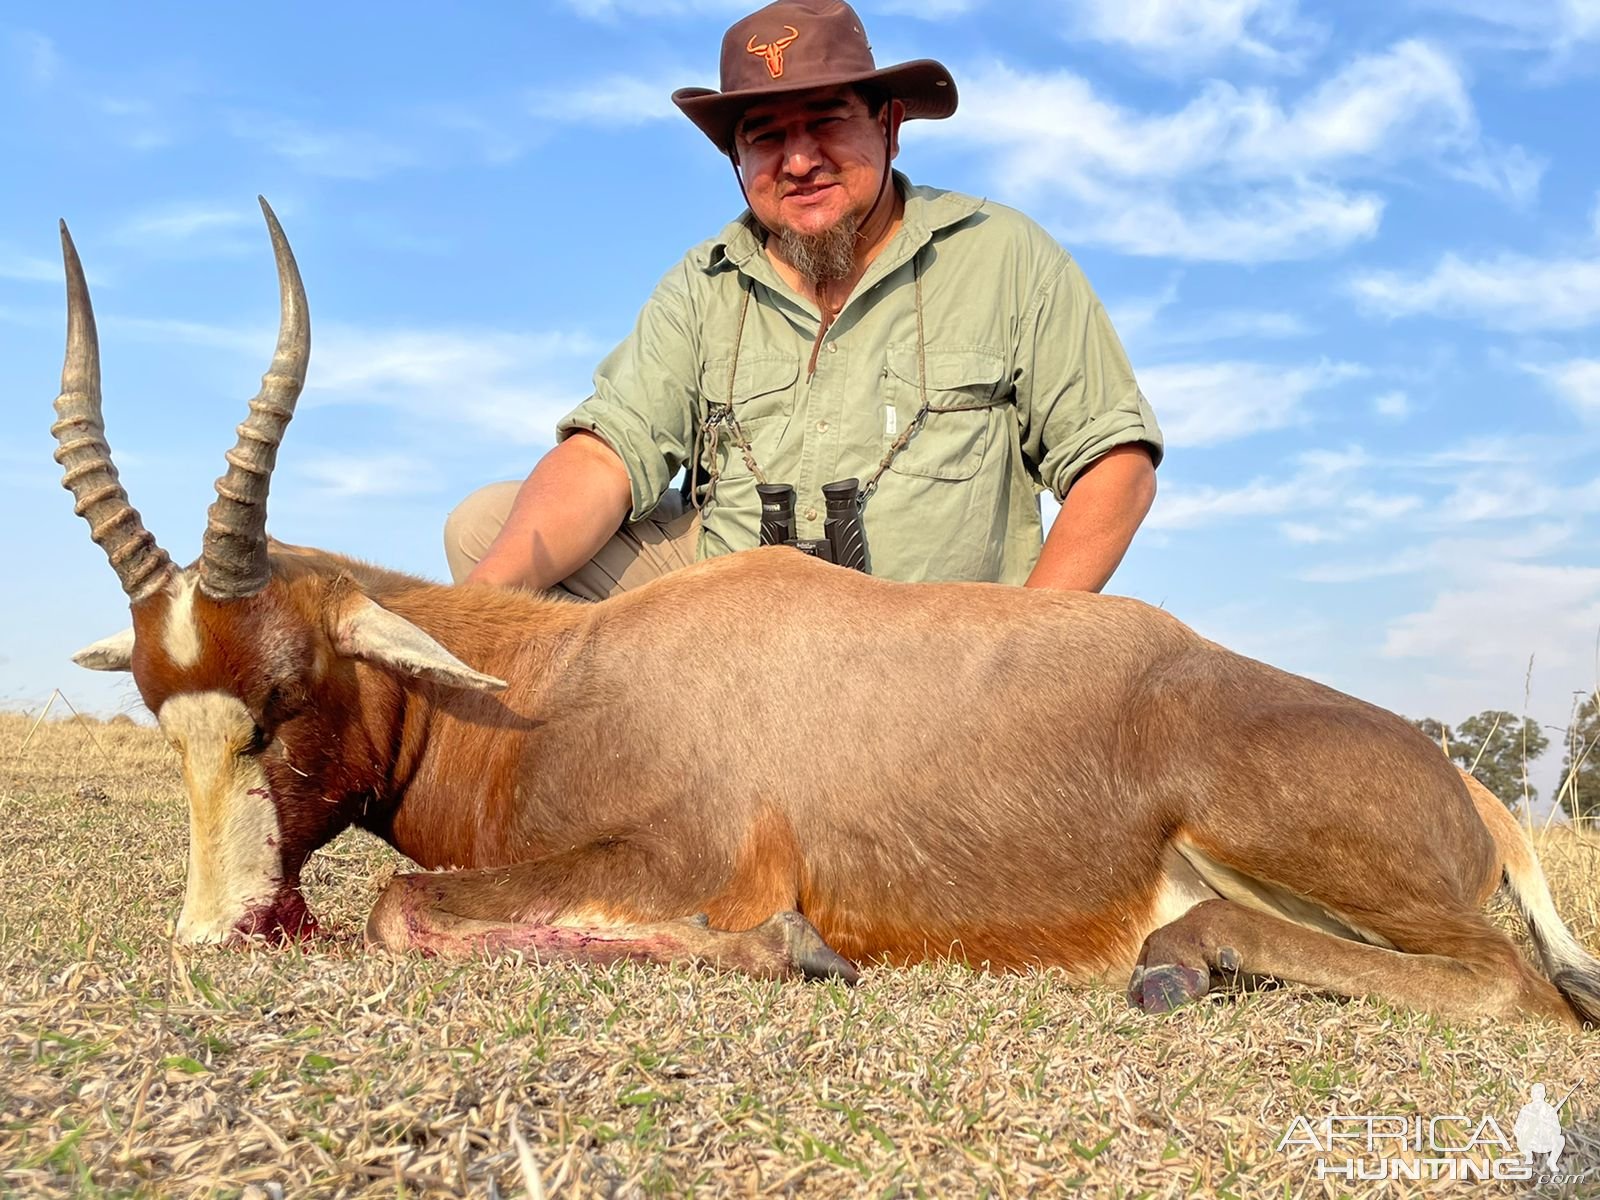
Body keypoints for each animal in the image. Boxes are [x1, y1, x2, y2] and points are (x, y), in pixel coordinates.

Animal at [56, 202, 1600, 1030]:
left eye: (279, 700)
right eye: (158, 710)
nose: (213, 935)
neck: (548, 679)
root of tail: (1474, 790)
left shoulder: (686, 856)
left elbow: (405, 904)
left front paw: (792, 949)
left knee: (1514, 989)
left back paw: (1176, 965)